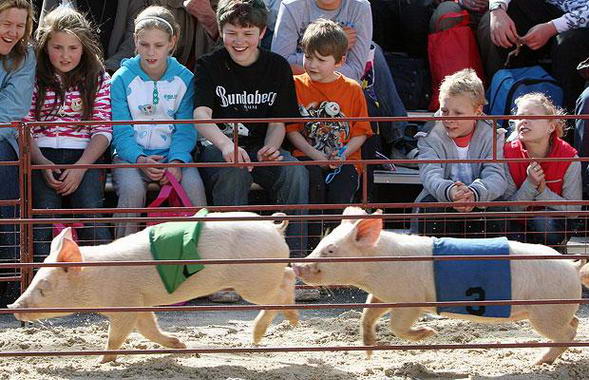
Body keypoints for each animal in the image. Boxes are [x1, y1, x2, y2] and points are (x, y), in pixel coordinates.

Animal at [6, 211, 296, 362]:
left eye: (44, 287)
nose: (12, 306)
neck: (97, 278)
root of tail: (273, 228)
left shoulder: (124, 303)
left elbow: (117, 335)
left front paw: (100, 362)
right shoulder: (140, 302)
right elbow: (148, 328)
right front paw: (182, 346)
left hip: (254, 282)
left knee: (282, 286)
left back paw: (259, 335)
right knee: (289, 275)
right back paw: (290, 321)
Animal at [292, 208, 584, 366]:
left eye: (330, 250)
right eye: (321, 243)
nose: (296, 265)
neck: (376, 267)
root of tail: (573, 265)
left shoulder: (411, 299)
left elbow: (397, 325)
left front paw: (429, 333)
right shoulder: (383, 294)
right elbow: (367, 314)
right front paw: (369, 350)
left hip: (545, 312)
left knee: (567, 333)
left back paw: (539, 361)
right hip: (557, 310)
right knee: (576, 323)